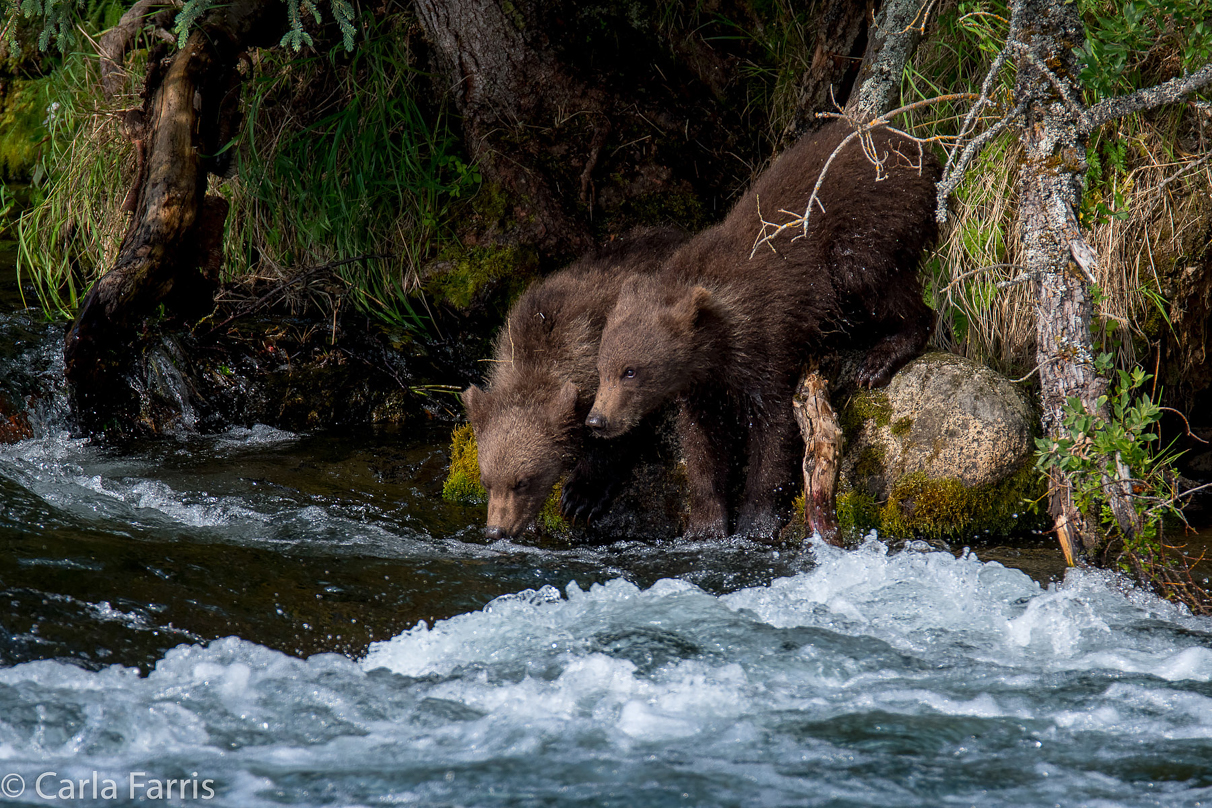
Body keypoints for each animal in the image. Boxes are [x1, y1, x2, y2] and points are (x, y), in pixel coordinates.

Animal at [591, 123, 940, 540]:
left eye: (630, 371)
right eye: (601, 369)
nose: (597, 421)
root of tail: (921, 150)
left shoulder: (767, 341)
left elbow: (775, 429)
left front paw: (756, 520)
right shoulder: (702, 386)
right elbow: (703, 444)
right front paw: (705, 524)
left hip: (871, 226)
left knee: (877, 280)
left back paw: (878, 361)